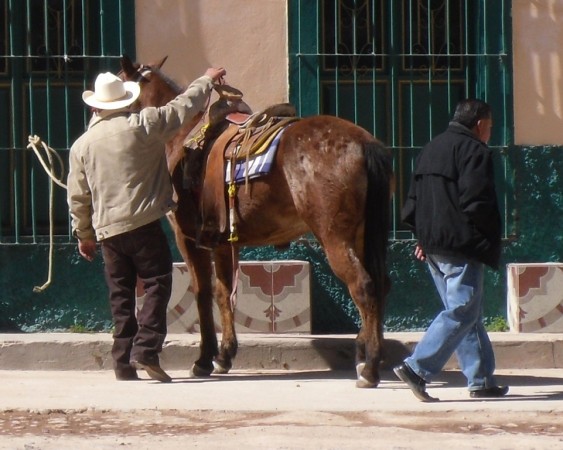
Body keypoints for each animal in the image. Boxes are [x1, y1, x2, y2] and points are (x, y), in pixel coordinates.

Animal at [120, 56, 392, 386]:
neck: (181, 134)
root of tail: (364, 144)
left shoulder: (188, 238)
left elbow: (203, 293)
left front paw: (205, 359)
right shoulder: (223, 242)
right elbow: (224, 293)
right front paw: (224, 355)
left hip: (335, 237)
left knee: (363, 286)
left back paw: (370, 367)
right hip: (363, 234)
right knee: (380, 284)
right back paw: (365, 353)